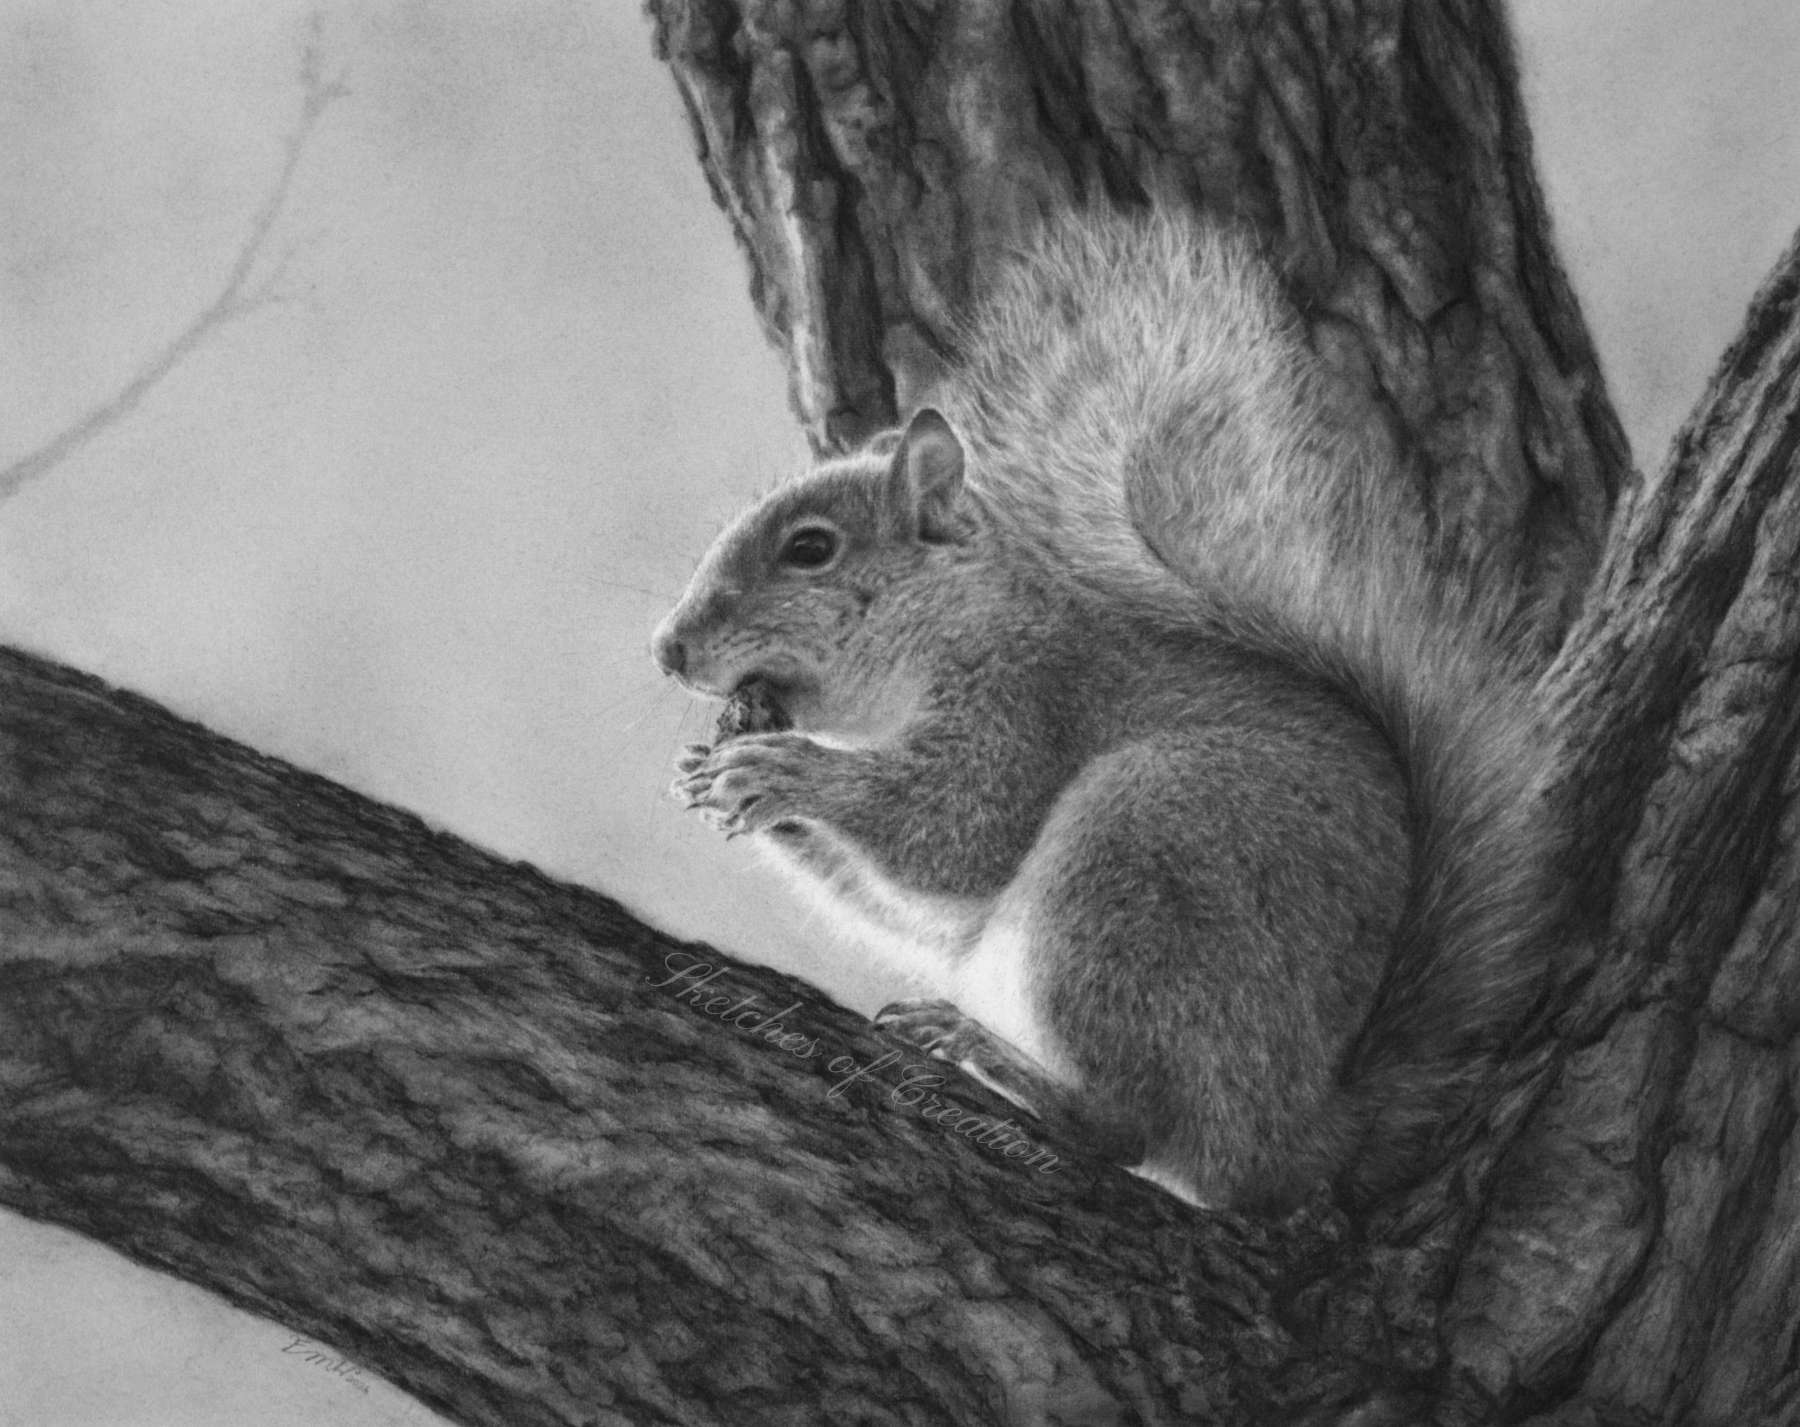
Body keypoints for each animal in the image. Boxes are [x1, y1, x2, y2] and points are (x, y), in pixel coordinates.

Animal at [651, 211, 1553, 1212]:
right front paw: (716, 776)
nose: (669, 650)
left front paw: (786, 768)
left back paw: (993, 1058)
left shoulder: (1026, 694)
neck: (951, 621)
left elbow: (960, 831)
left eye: (810, 549)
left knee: (1126, 1130)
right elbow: (911, 903)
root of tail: (1298, 1136)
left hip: (1137, 851)